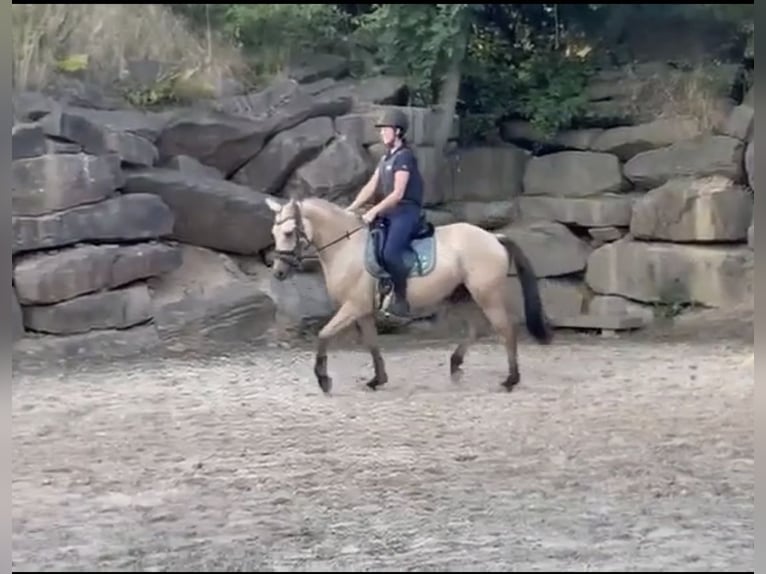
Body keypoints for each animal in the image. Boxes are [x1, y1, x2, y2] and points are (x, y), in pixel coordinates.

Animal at [264, 197, 552, 396]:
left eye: (288, 233)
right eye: (274, 233)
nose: (278, 272)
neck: (347, 248)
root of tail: (494, 236)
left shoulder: (353, 307)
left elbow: (323, 335)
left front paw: (323, 380)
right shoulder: (363, 310)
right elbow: (372, 343)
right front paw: (377, 379)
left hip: (486, 295)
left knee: (505, 329)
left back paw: (510, 380)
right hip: (463, 295)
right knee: (477, 329)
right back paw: (455, 365)